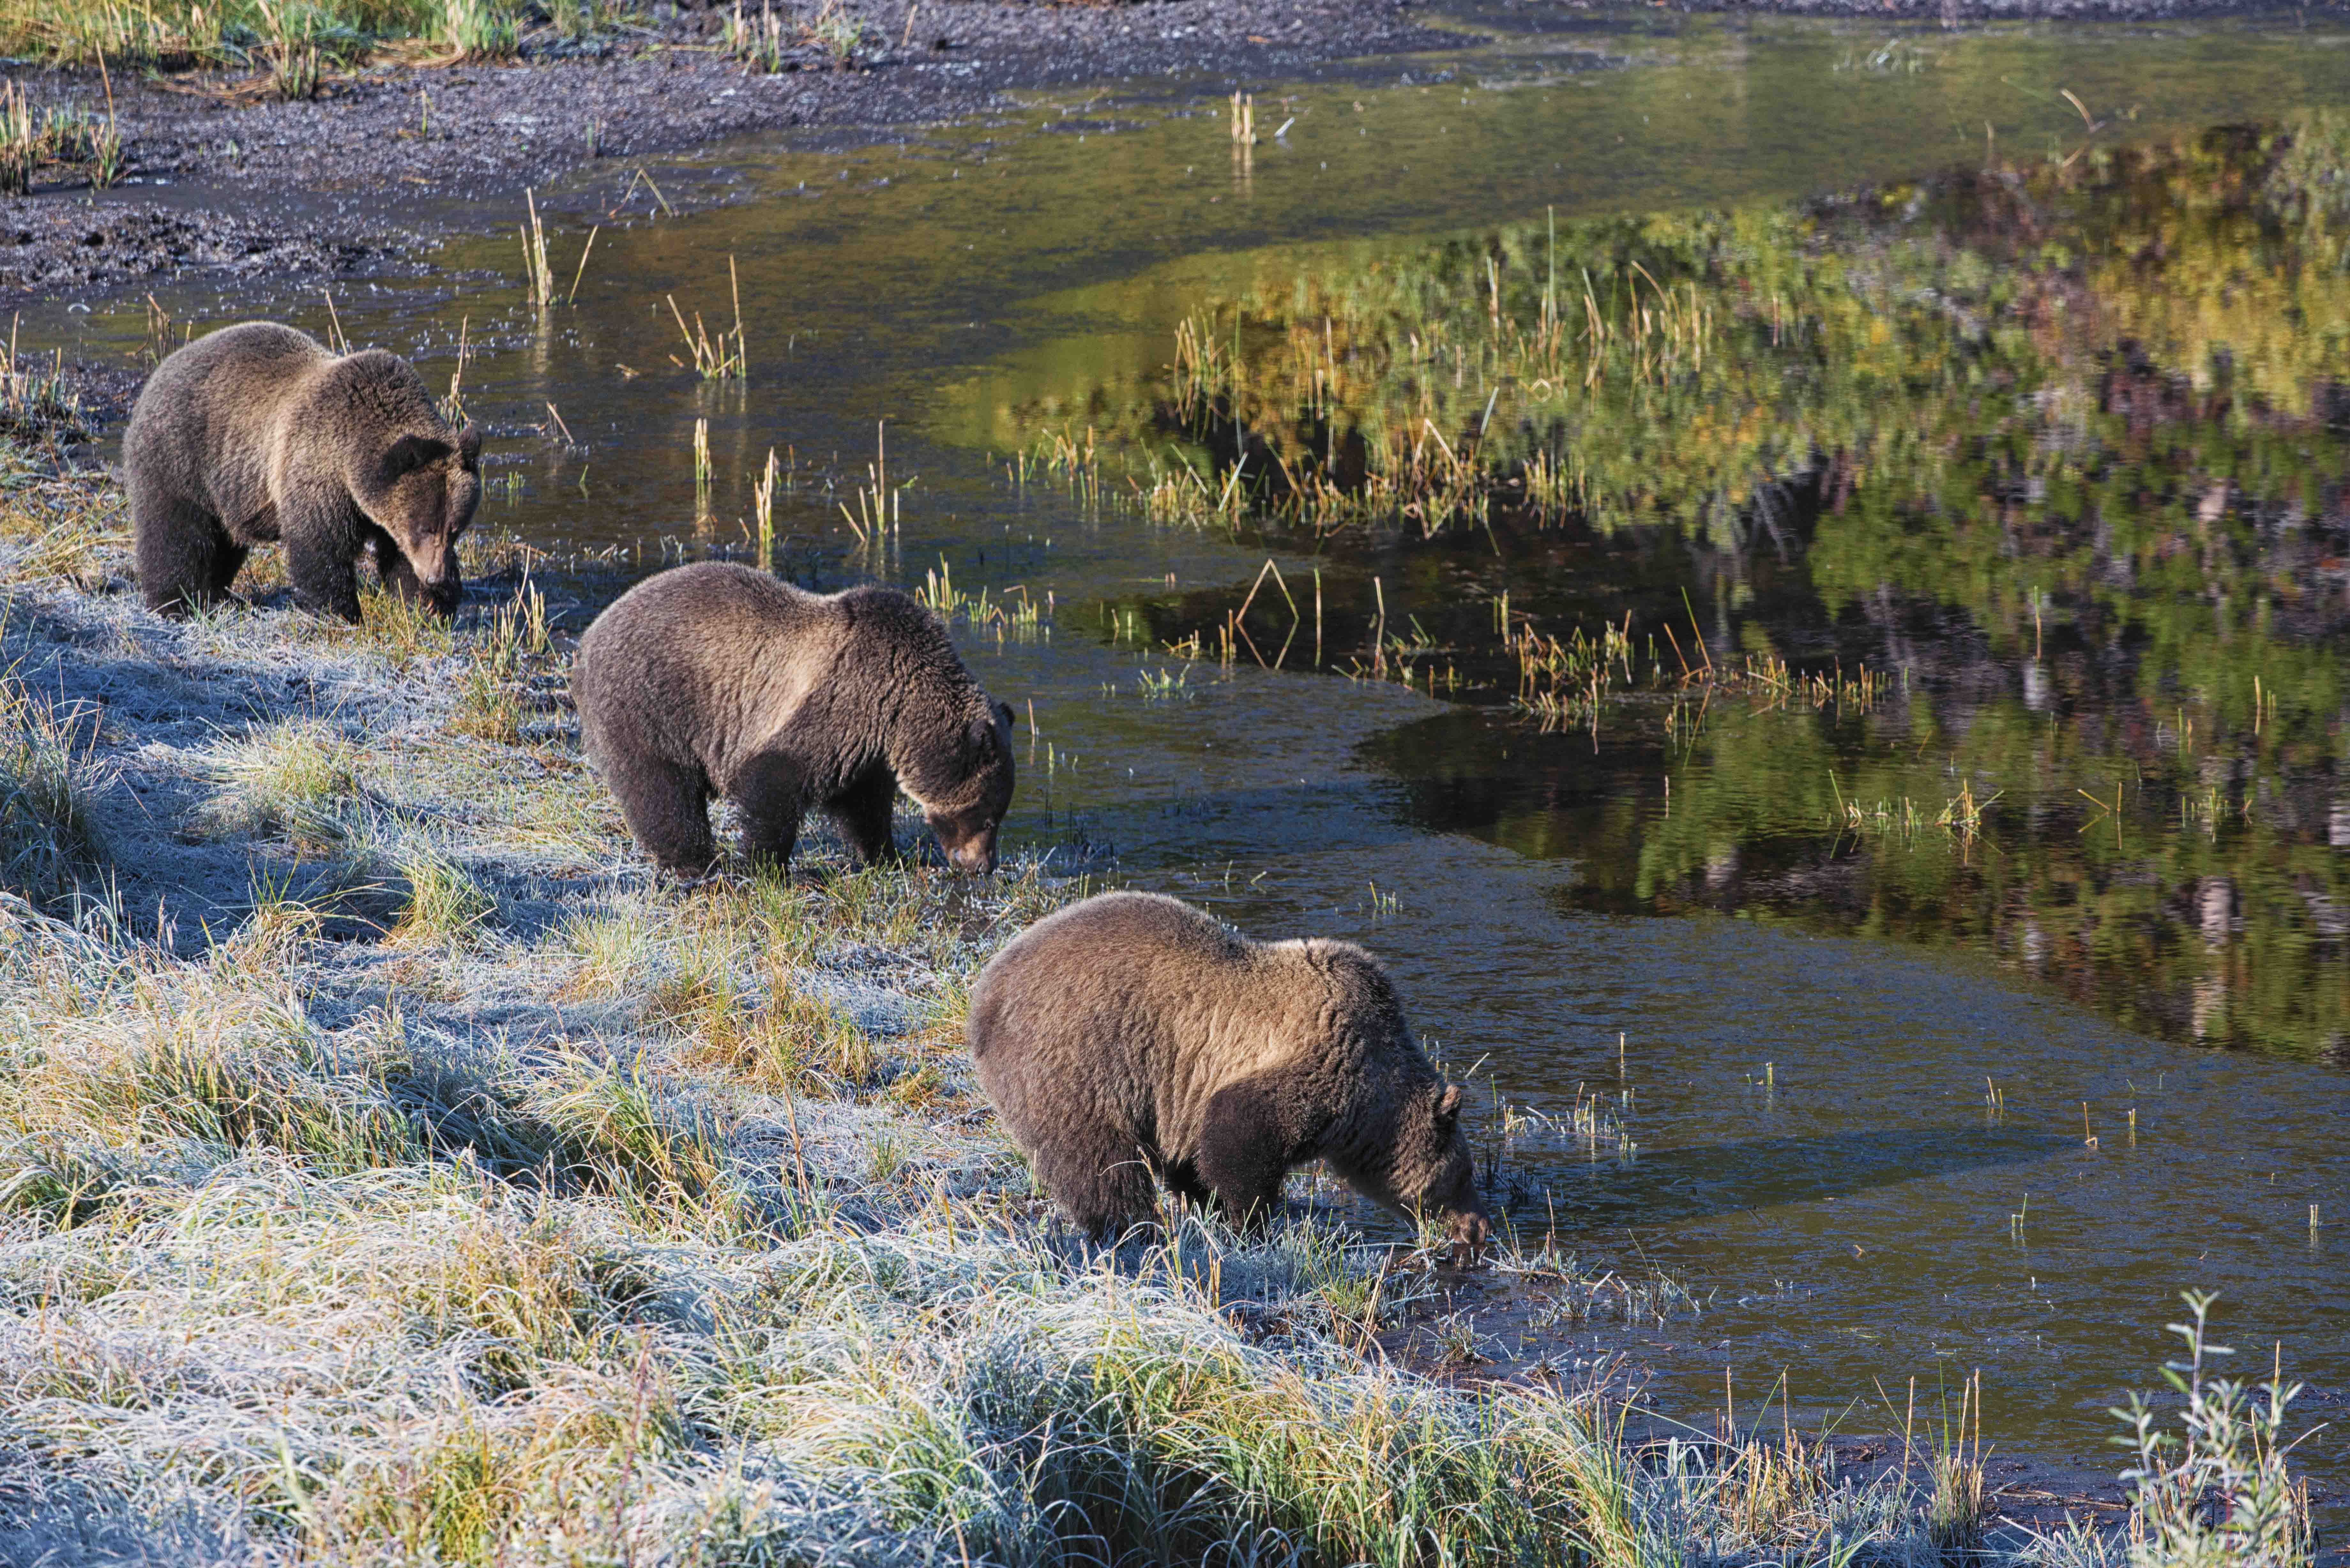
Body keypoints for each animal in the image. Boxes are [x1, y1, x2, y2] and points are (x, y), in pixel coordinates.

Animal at [126, 320, 484, 621]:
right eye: (425, 527)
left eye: (455, 528)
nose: (435, 576)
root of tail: (158, 373)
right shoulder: (318, 470)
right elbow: (319, 549)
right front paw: (341, 611)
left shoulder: (376, 506)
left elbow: (396, 556)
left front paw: (431, 604)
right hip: (181, 455)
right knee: (175, 532)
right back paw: (174, 602)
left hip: (229, 486)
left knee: (223, 542)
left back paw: (216, 593)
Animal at [573, 562, 1015, 884]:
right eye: (988, 815)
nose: (983, 865)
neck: (897, 708)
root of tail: (588, 636)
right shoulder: (835, 702)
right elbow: (775, 782)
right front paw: (766, 865)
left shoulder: (864, 747)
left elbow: (863, 806)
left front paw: (890, 855)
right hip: (650, 702)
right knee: (660, 789)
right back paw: (696, 861)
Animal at [968, 888, 1485, 1260]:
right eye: (1465, 1174)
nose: (1478, 1227)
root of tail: (985, 992)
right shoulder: (1311, 1066)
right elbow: (1237, 1139)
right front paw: (1251, 1224)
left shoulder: (1183, 1090)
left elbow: (1194, 1154)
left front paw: (1211, 1208)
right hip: (1077, 1059)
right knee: (1098, 1164)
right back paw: (1135, 1230)